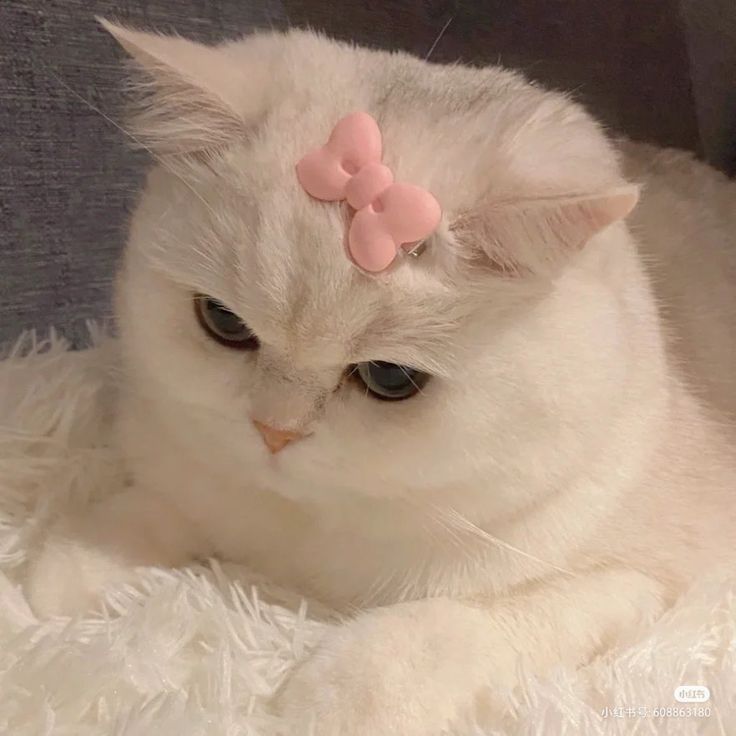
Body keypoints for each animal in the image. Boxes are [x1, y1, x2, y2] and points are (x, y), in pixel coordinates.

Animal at [24, 20, 736, 732]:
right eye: (223, 321)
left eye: (389, 378)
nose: (273, 431)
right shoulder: (185, 466)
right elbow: (163, 503)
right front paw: (71, 563)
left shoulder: (637, 581)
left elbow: (464, 624)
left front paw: (334, 694)